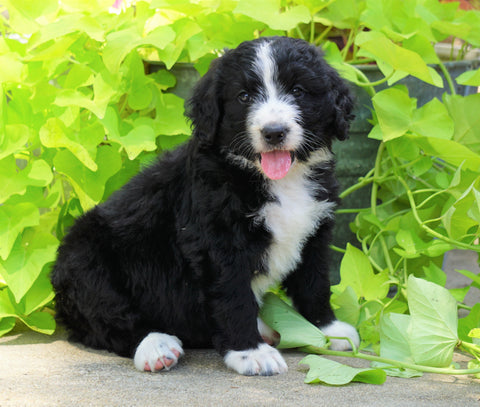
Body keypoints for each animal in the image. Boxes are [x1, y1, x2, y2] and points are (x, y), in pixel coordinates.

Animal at [52, 36, 360, 378]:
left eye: (298, 91)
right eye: (244, 96)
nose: (274, 132)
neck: (277, 180)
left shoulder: (314, 232)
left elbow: (315, 283)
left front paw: (327, 331)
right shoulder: (219, 243)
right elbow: (234, 295)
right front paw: (250, 353)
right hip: (85, 261)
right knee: (110, 318)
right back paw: (155, 346)